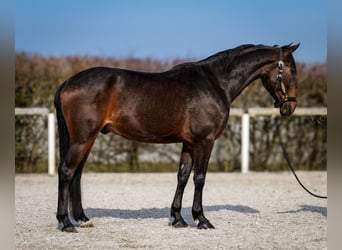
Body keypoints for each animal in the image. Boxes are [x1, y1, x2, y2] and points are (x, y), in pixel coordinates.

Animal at [54, 43, 300, 232]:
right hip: (82, 138)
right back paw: (66, 223)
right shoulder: (205, 141)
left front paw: (178, 219)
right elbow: (199, 178)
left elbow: (182, 176)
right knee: (66, 171)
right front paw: (202, 219)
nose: (289, 107)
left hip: (87, 139)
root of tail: (67, 82)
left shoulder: (189, 143)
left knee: (77, 173)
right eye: (292, 70)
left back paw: (82, 219)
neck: (216, 82)